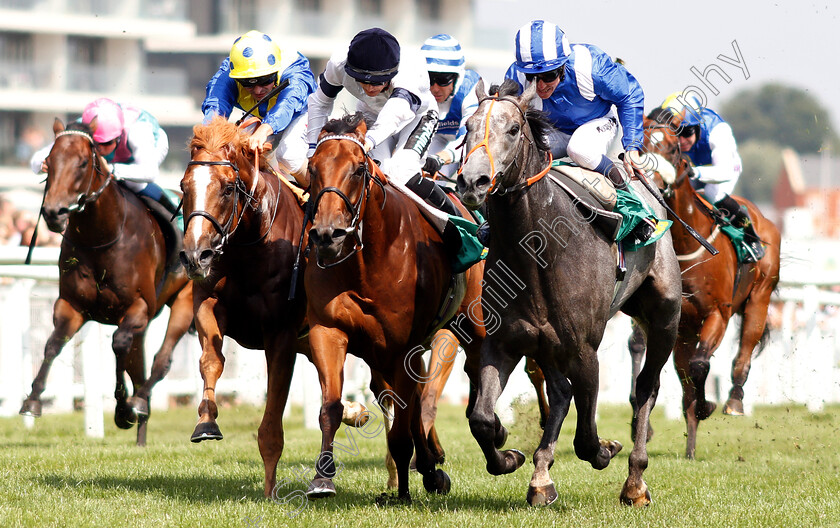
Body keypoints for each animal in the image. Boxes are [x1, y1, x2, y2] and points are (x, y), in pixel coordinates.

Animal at [19, 118, 194, 446]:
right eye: (49, 161)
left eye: (82, 163)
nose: (53, 213)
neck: (101, 238)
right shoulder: (72, 306)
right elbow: (52, 345)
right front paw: (32, 401)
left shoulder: (139, 307)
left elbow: (118, 343)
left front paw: (123, 409)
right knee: (139, 367)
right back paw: (141, 434)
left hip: (185, 300)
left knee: (161, 361)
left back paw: (138, 403)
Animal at [306, 113, 496, 502]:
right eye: (312, 168)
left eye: (359, 169)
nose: (328, 234)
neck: (367, 262)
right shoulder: (328, 330)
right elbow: (331, 406)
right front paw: (323, 477)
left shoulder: (402, 347)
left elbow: (401, 428)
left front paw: (408, 486)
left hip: (470, 320)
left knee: (472, 370)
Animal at [452, 79, 684, 508]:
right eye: (467, 128)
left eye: (513, 129)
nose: (472, 182)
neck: (537, 254)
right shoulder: (503, 342)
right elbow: (481, 418)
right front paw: (510, 457)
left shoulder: (584, 351)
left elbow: (586, 438)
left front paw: (607, 449)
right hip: (548, 345)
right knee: (560, 393)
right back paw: (541, 475)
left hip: (664, 317)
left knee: (646, 386)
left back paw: (635, 481)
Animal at [632, 107, 784, 458]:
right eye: (642, 145)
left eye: (674, 149)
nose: (653, 182)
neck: (686, 243)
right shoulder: (672, 322)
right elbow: (676, 370)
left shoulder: (718, 312)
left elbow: (701, 365)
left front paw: (708, 406)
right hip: (685, 332)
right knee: (685, 379)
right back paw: (690, 444)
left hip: (759, 299)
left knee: (742, 356)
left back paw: (734, 401)